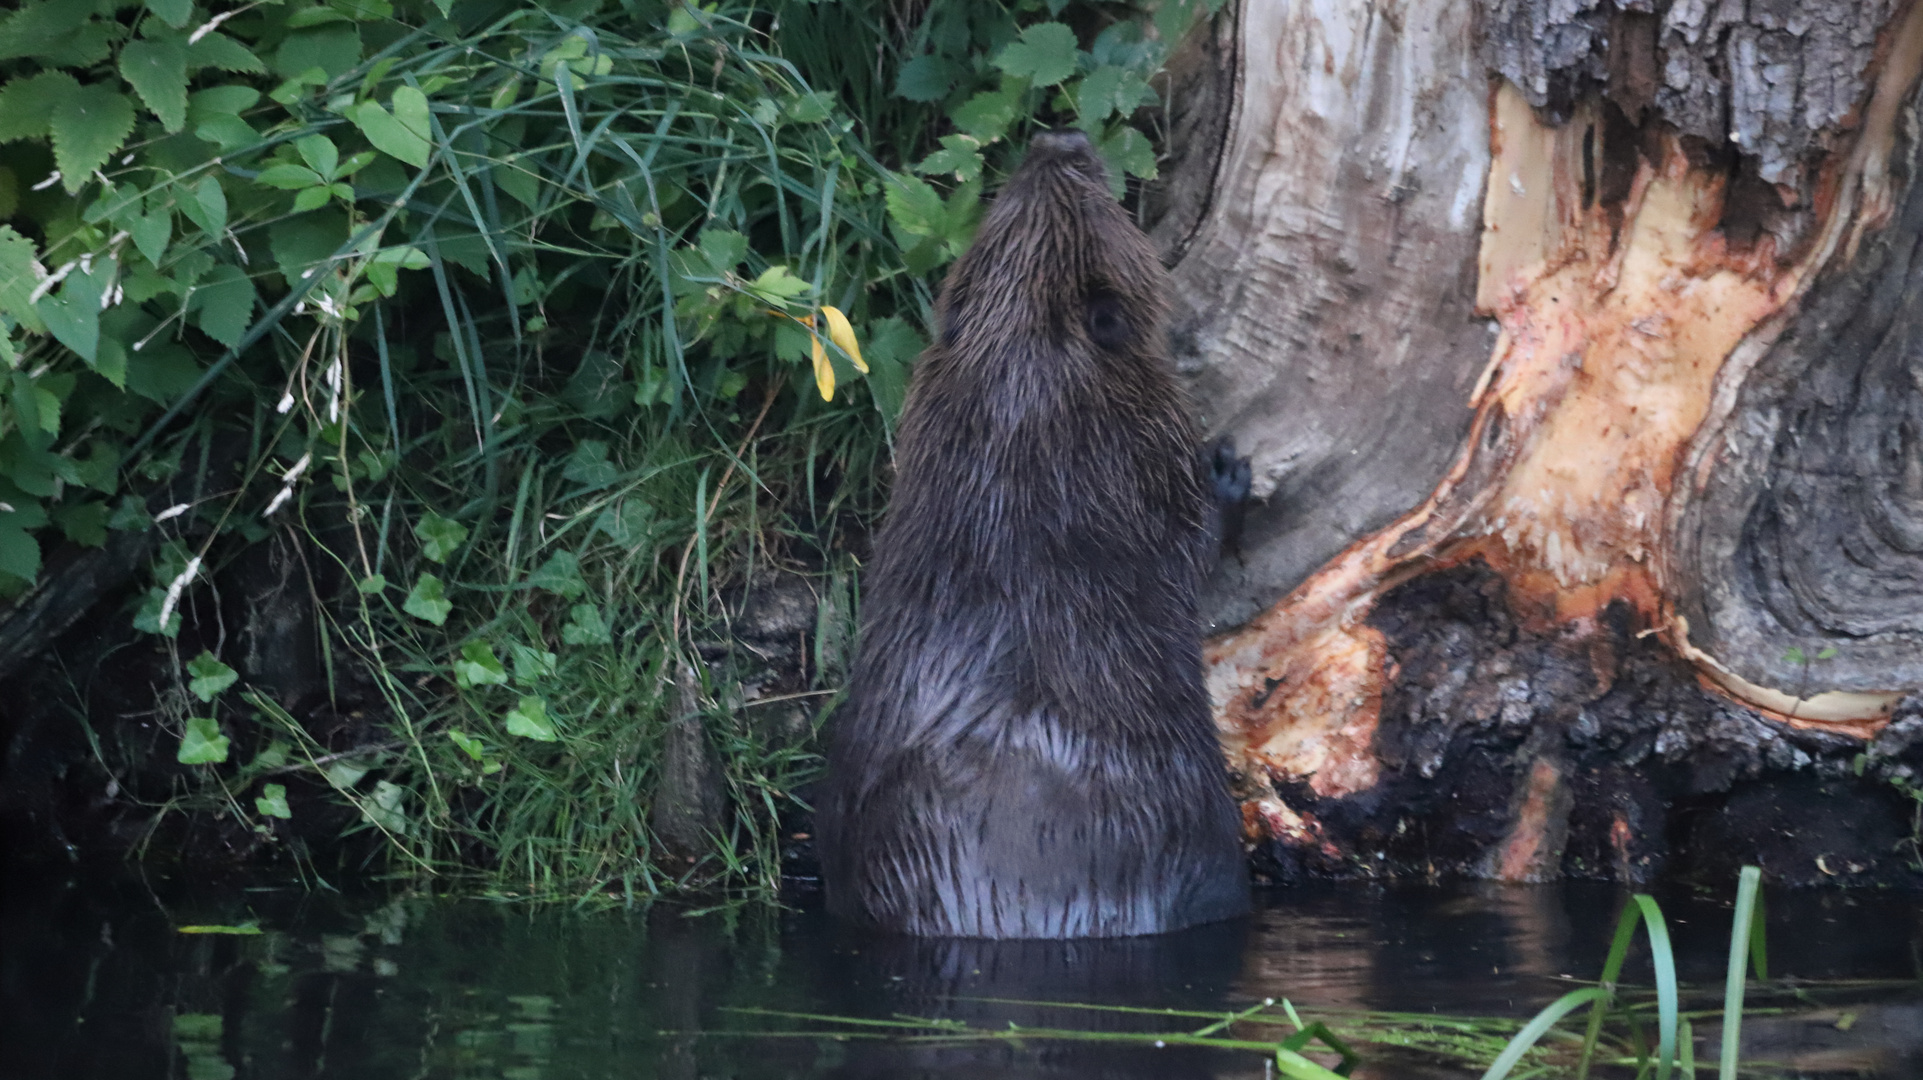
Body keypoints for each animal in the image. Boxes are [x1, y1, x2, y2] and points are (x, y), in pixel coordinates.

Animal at [819, 127, 1253, 933]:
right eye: (1087, 191)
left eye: (1003, 202)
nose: (1060, 139)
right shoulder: (1141, 465)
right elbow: (1192, 547)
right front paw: (1229, 471)